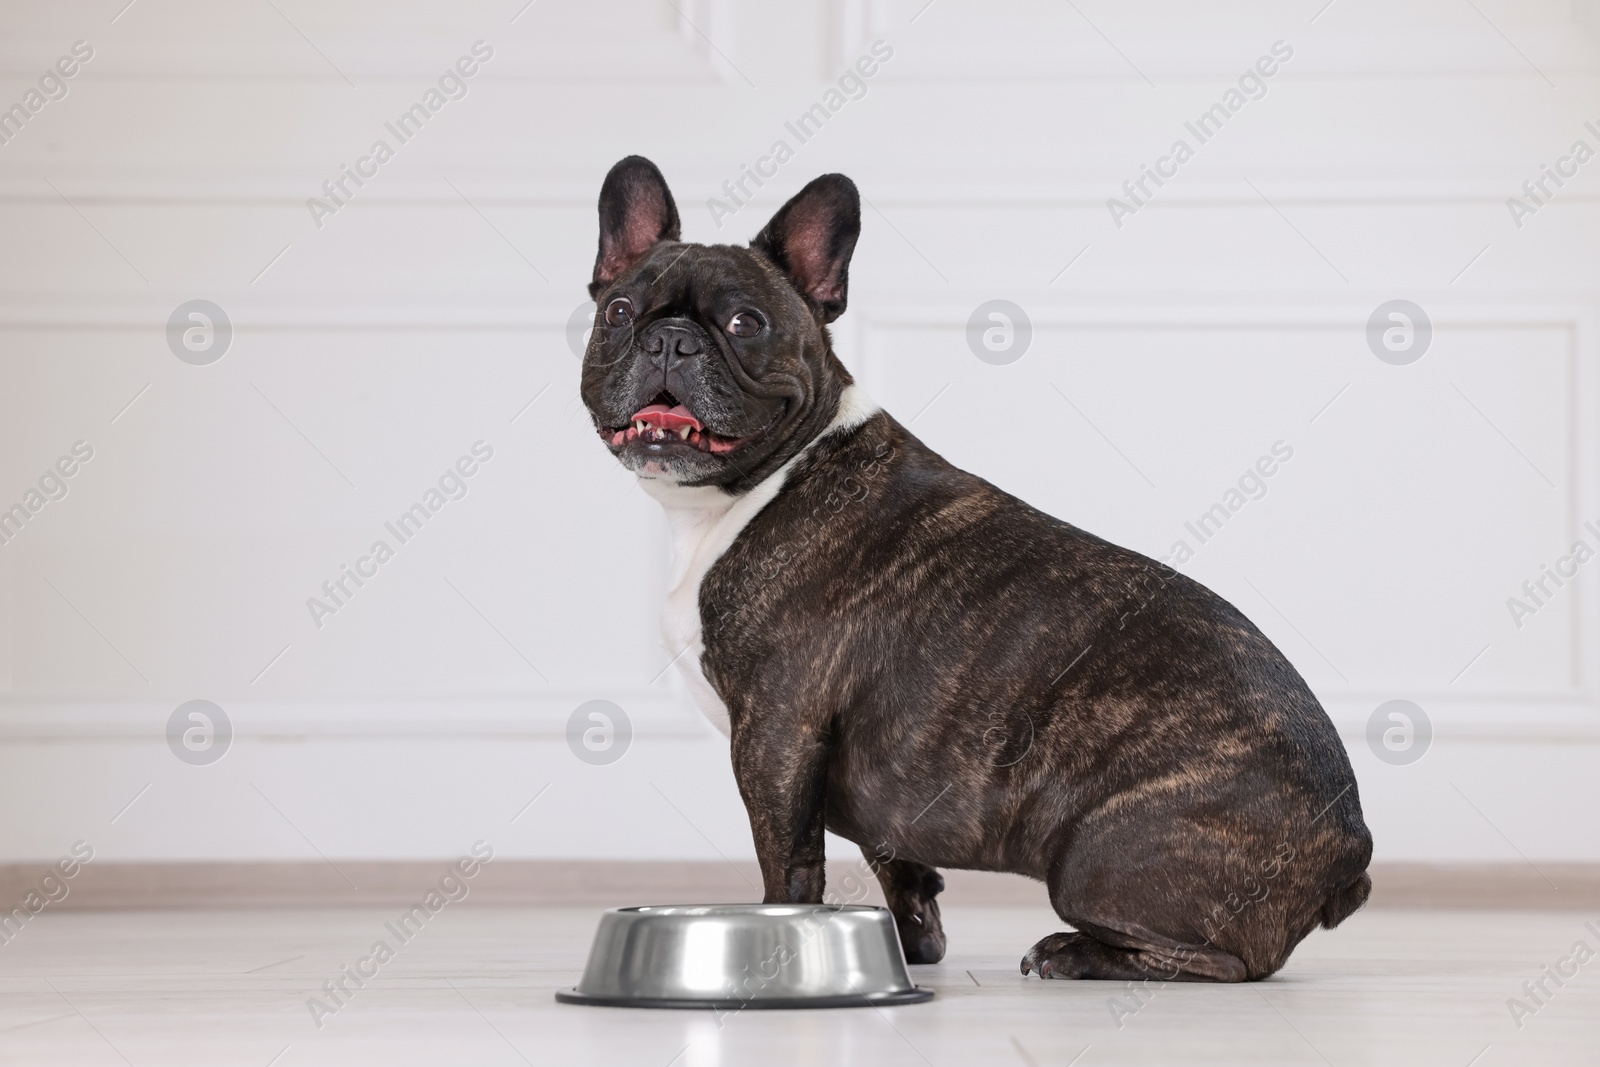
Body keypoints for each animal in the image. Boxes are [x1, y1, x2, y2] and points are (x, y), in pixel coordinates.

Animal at [582, 154, 1369, 979]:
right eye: (620, 311)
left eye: (744, 324)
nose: (669, 341)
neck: (753, 484)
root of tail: (1350, 844)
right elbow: (895, 856)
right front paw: (915, 939)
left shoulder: (777, 733)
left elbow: (790, 861)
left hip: (1096, 855)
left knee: (1222, 961)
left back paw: (1074, 953)